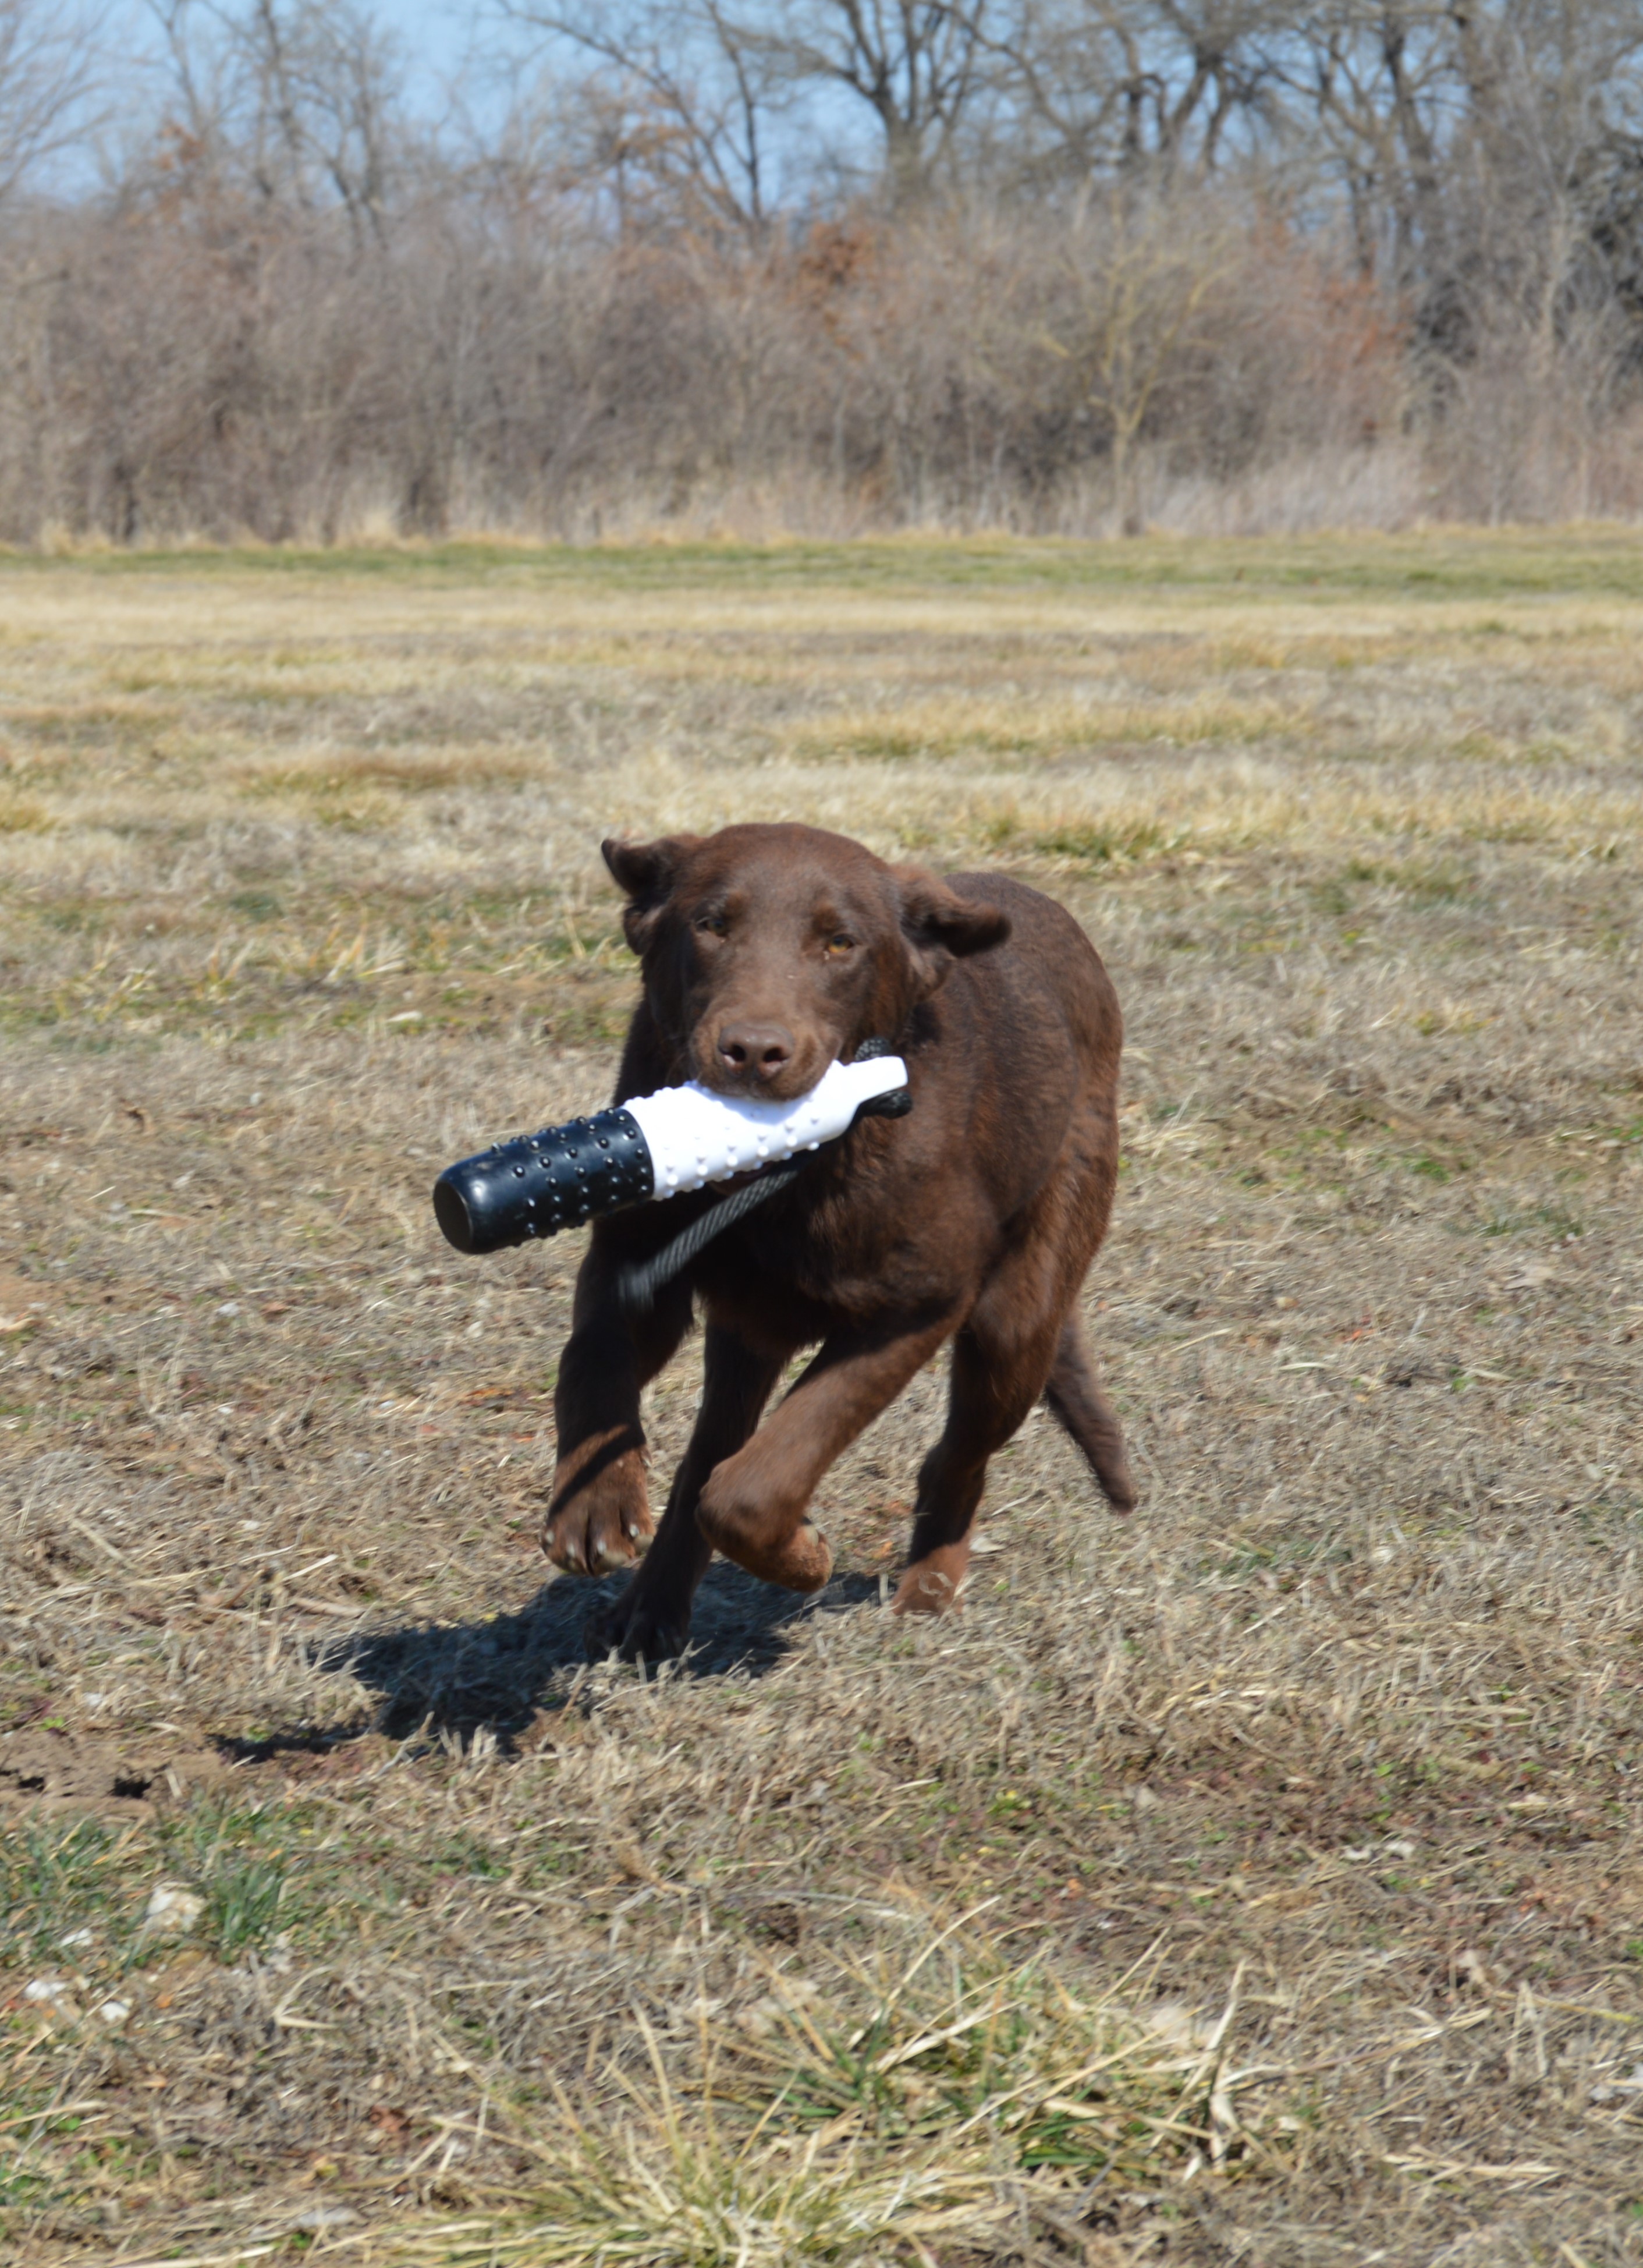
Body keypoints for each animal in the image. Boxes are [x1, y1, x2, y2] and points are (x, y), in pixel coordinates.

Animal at [544, 825, 1133, 1660]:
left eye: (841, 943)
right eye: (711, 925)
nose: (753, 1051)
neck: (781, 1179)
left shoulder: (919, 1306)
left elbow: (759, 1482)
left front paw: (803, 1557)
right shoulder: (632, 1264)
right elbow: (590, 1362)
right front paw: (593, 1504)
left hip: (1016, 1315)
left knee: (956, 1457)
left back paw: (928, 1590)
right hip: (749, 1329)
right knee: (707, 1456)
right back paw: (649, 1612)